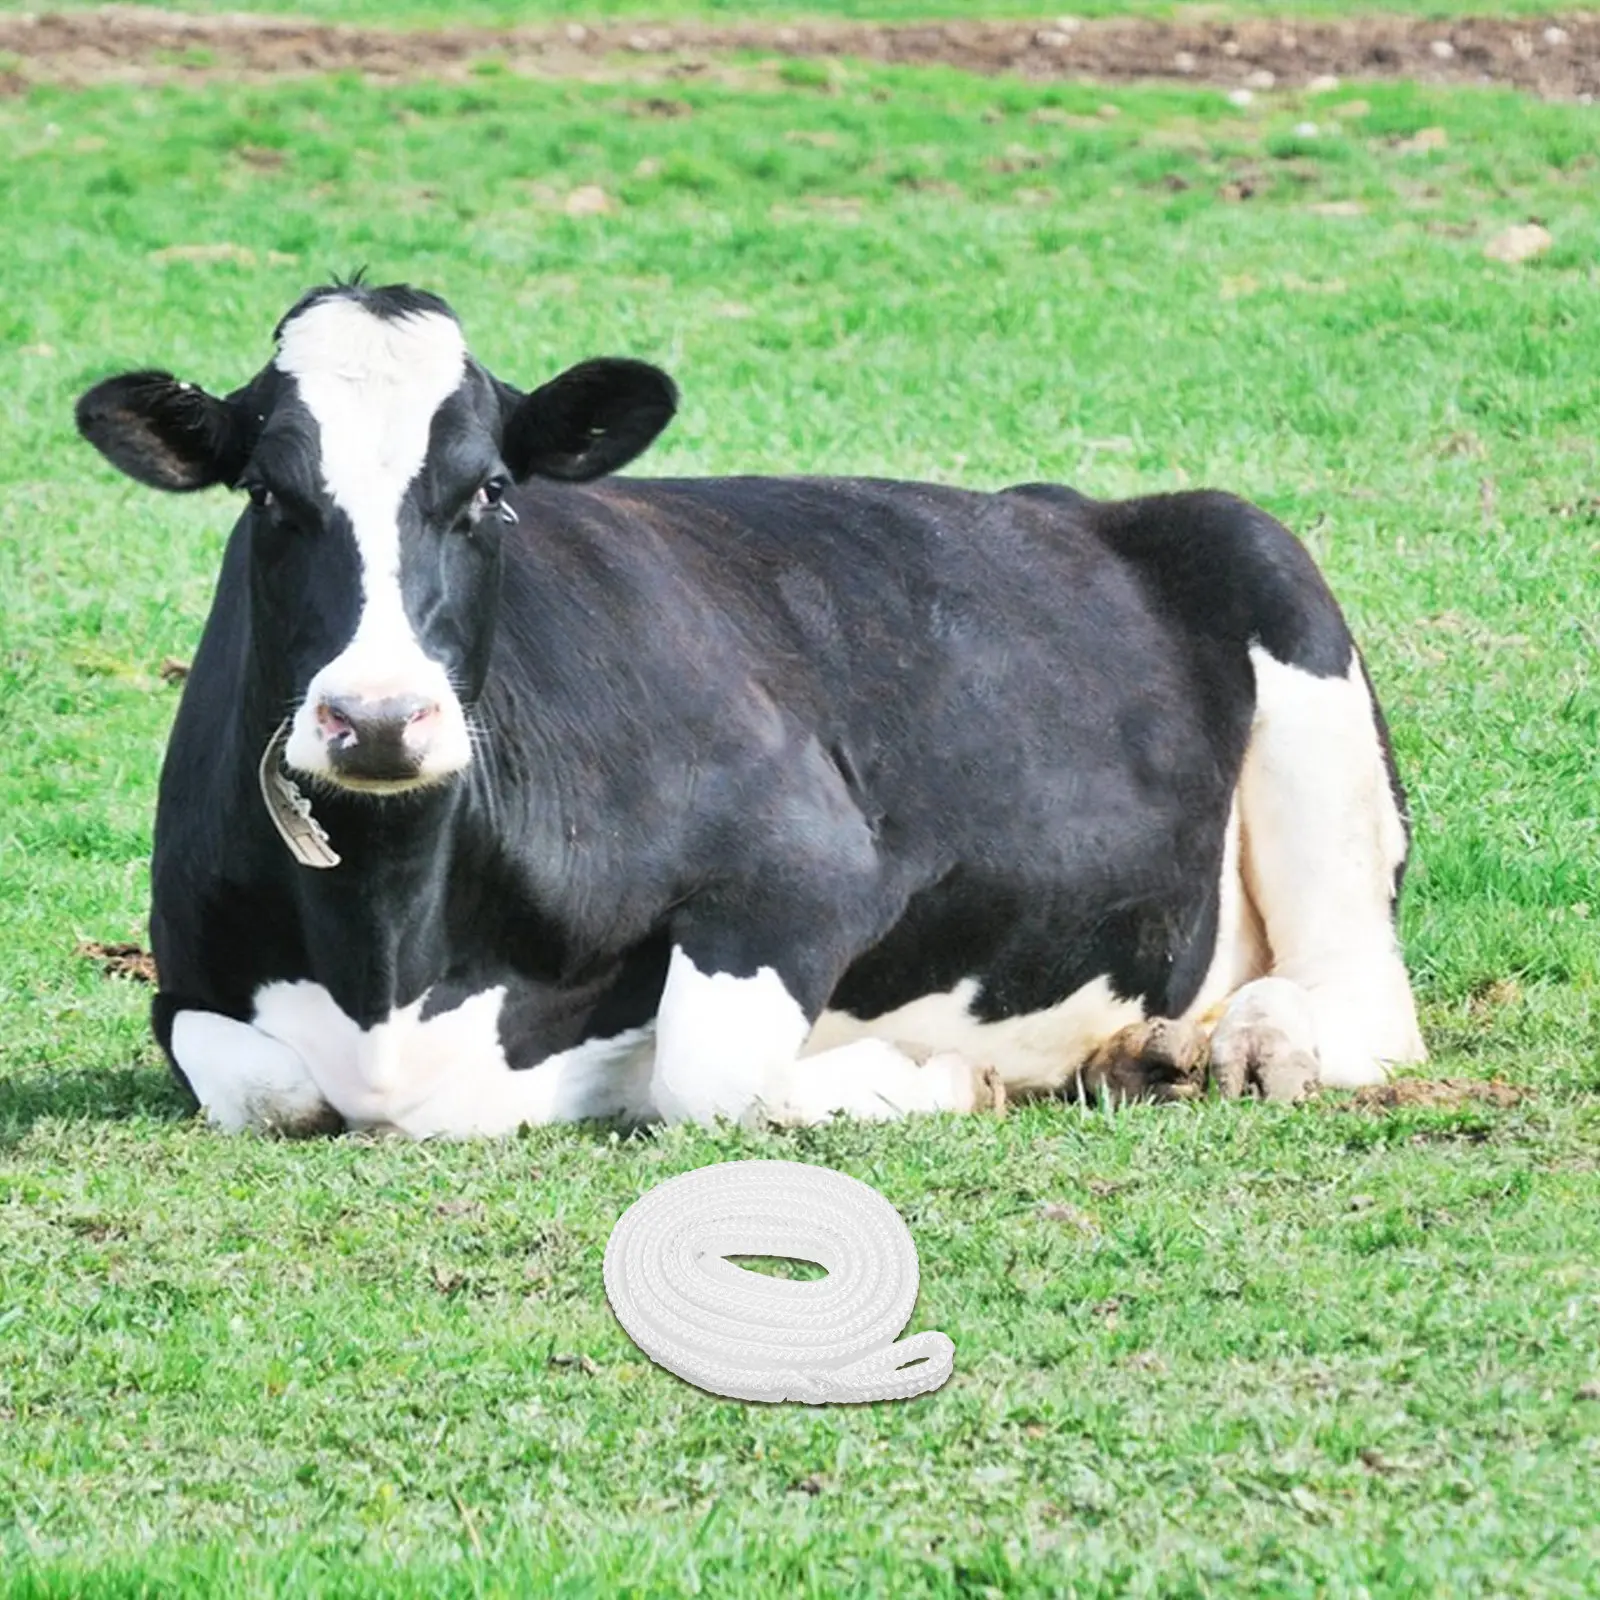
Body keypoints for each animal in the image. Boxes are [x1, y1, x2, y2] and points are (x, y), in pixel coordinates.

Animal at [74, 281, 1425, 1138]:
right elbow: (262, 1087)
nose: (376, 716)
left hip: (1283, 619)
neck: (390, 958)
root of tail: (1081, 504)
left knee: (1364, 1001)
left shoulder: (806, 866)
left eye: (491, 489)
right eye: (268, 493)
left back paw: (1254, 1045)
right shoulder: (184, 975)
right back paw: (1149, 1048)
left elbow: (707, 1076)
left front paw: (937, 1080)